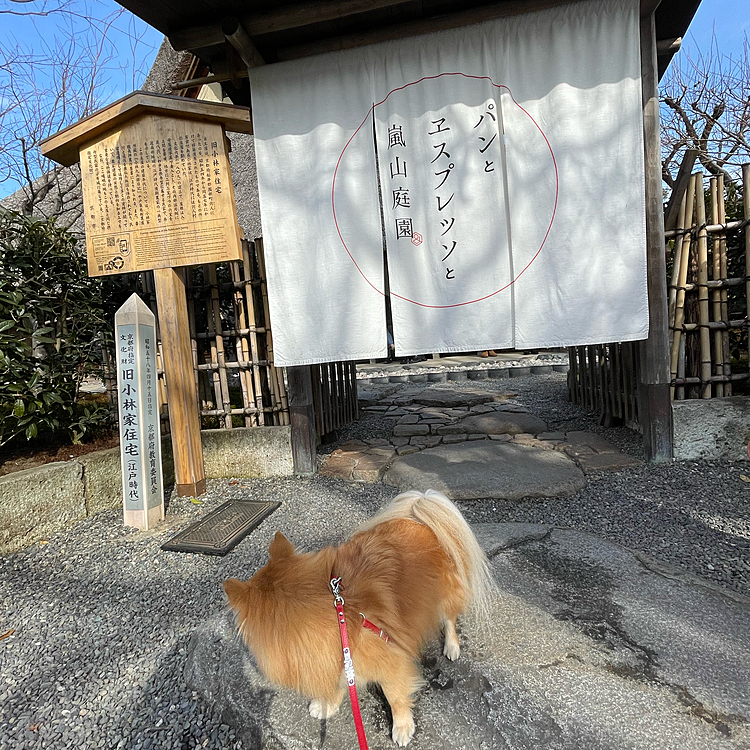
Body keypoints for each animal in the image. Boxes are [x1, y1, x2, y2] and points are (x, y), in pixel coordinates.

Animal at [222, 494, 494, 748]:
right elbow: (341, 681)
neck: (339, 611)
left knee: (449, 619)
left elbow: (396, 697)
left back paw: (452, 646)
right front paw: (328, 703)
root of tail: (419, 516)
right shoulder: (340, 657)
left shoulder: (391, 660)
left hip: (443, 597)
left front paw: (402, 727)